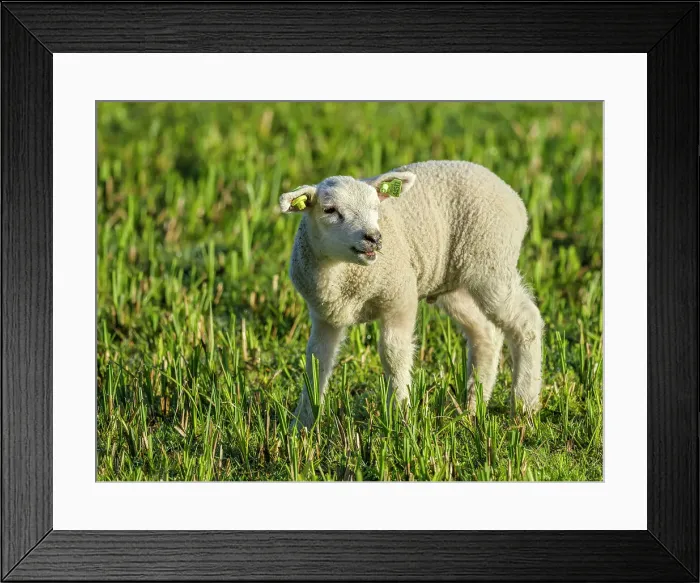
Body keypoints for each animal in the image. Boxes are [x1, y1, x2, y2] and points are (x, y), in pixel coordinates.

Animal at [279, 160, 543, 428]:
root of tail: (511, 193)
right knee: (485, 333)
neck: (342, 276)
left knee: (526, 321)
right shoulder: (325, 315)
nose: (374, 238)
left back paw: (524, 405)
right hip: (455, 283)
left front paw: (398, 415)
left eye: (376, 207)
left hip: (491, 263)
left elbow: (393, 353)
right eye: (329, 210)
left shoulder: (400, 295)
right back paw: (472, 406)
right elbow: (317, 361)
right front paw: (302, 423)